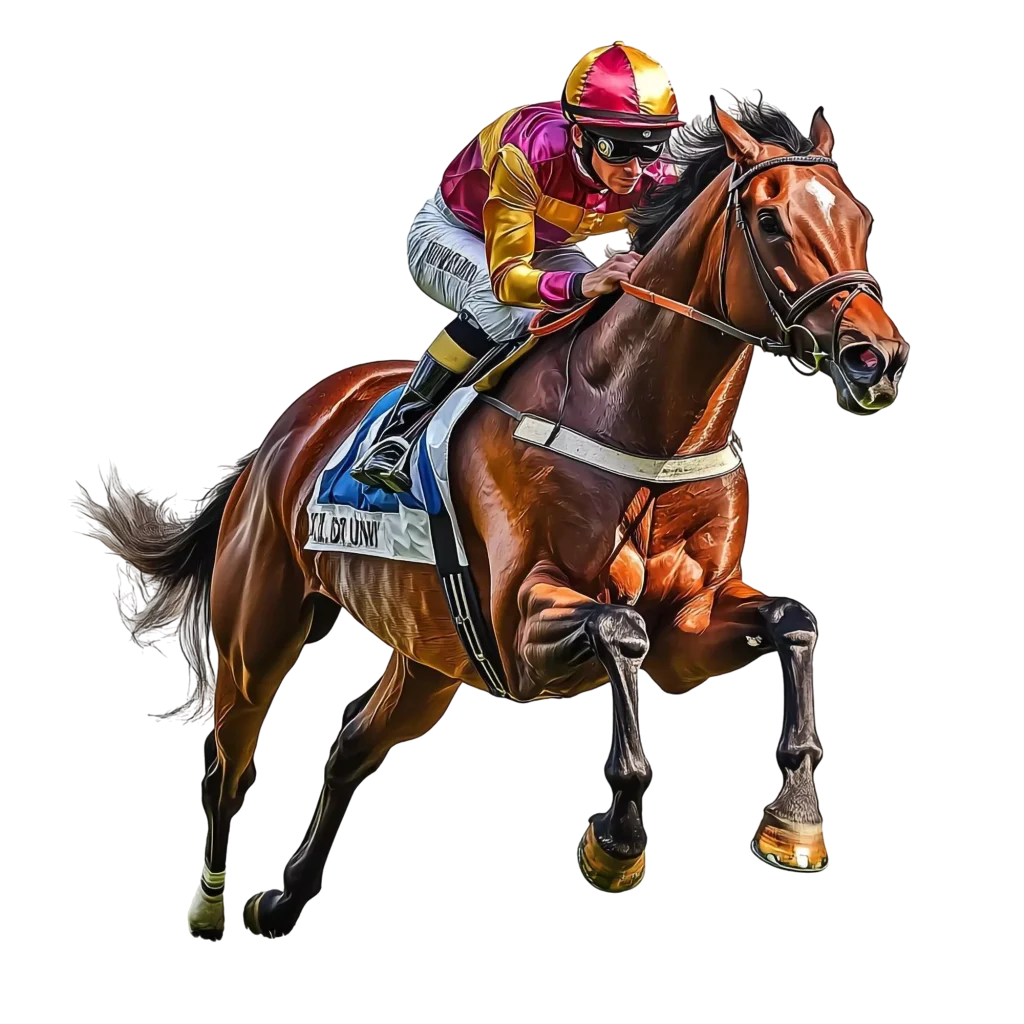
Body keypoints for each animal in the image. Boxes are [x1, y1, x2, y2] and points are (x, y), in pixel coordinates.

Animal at [72, 102, 908, 936]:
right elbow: (621, 630)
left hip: (428, 658)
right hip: (260, 629)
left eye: (862, 218)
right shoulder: (519, 624)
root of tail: (279, 437)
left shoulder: (692, 622)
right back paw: (213, 903)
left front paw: (794, 825)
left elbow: (792, 622)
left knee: (346, 751)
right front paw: (616, 845)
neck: (636, 419)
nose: (876, 357)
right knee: (228, 760)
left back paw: (284, 898)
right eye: (770, 221)